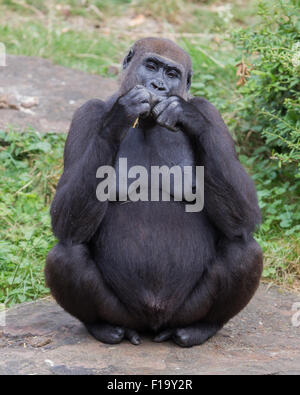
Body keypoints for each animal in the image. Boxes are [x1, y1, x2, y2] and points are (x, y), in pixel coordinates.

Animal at [45, 36, 262, 346]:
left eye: (171, 74)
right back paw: (103, 327)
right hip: (125, 314)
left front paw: (186, 115)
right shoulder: (85, 114)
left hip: (183, 312)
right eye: (151, 66)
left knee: (241, 247)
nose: (157, 87)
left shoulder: (211, 112)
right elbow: (65, 219)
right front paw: (119, 116)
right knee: (67, 252)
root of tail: (154, 324)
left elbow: (245, 216)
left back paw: (202, 327)